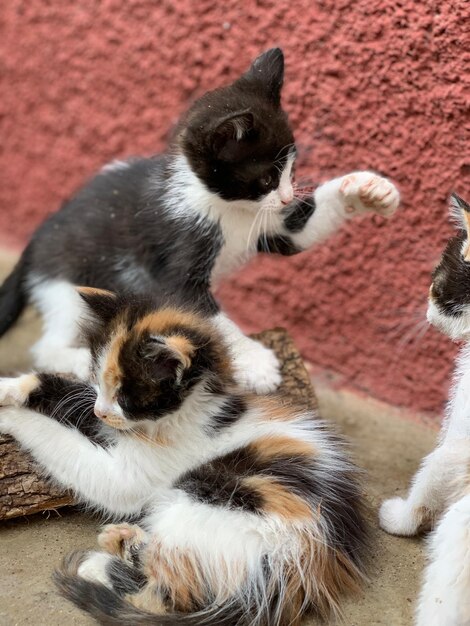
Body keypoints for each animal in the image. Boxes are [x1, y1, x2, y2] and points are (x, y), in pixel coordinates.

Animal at [0, 47, 400, 390]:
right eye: (266, 180)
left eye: (292, 169)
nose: (287, 196)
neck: (226, 208)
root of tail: (37, 238)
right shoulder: (176, 254)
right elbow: (211, 316)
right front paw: (256, 363)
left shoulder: (273, 223)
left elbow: (302, 227)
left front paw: (369, 188)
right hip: (65, 284)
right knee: (48, 343)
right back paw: (81, 362)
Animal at [0, 288, 370, 624]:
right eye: (97, 378)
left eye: (126, 396)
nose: (101, 410)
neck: (181, 417)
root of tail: (303, 568)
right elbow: (68, 397)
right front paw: (10, 388)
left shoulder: (136, 469)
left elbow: (90, 467)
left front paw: (11, 417)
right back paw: (126, 542)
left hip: (204, 501)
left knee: (174, 596)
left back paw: (100, 566)